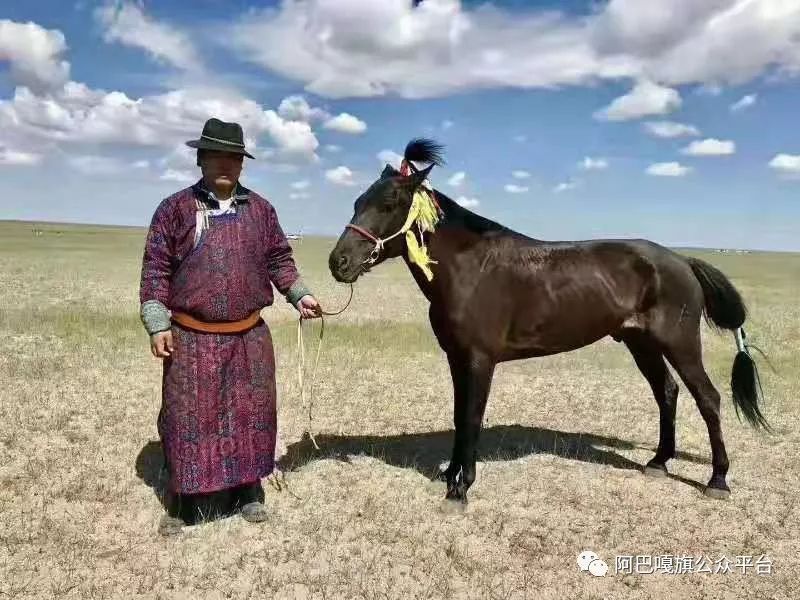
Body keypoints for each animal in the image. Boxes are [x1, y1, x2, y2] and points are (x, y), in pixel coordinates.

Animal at [328, 138, 768, 504]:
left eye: (389, 204)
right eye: (356, 201)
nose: (339, 262)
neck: (470, 268)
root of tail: (682, 261)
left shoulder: (480, 360)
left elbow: (472, 416)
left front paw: (461, 487)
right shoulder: (456, 359)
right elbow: (458, 415)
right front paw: (450, 476)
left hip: (679, 342)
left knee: (707, 398)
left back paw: (718, 480)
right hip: (640, 343)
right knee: (667, 392)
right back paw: (658, 462)